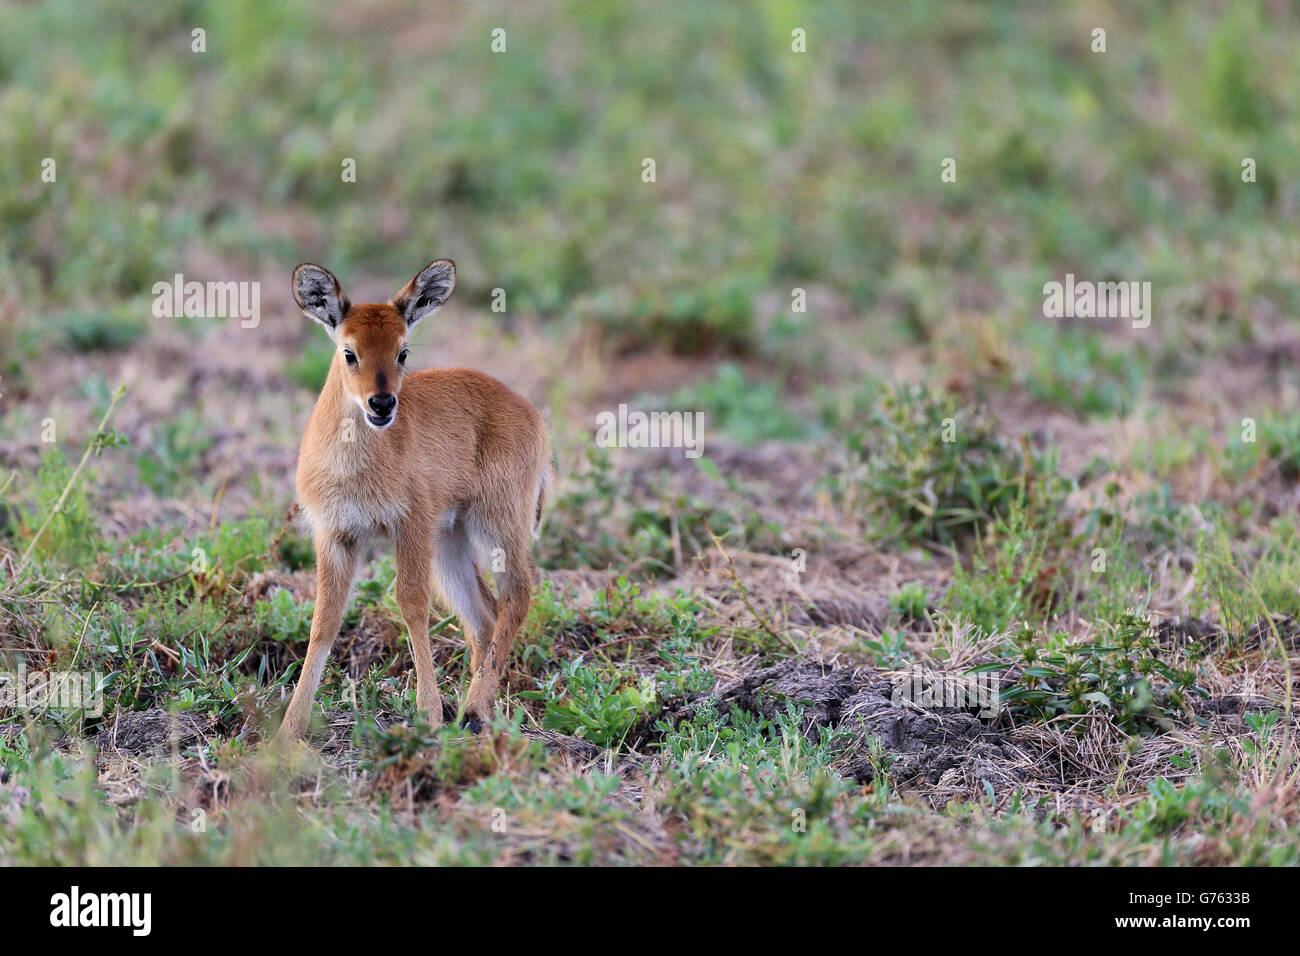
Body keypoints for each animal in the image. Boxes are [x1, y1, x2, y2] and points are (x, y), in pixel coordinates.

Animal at [276, 257, 551, 743]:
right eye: (349, 351)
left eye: (403, 351)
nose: (382, 403)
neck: (353, 469)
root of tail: (532, 414)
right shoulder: (335, 535)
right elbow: (324, 621)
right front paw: (289, 729)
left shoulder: (410, 525)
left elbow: (411, 604)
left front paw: (428, 712)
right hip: (451, 540)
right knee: (484, 614)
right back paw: (473, 711)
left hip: (497, 523)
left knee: (517, 595)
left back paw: (472, 710)